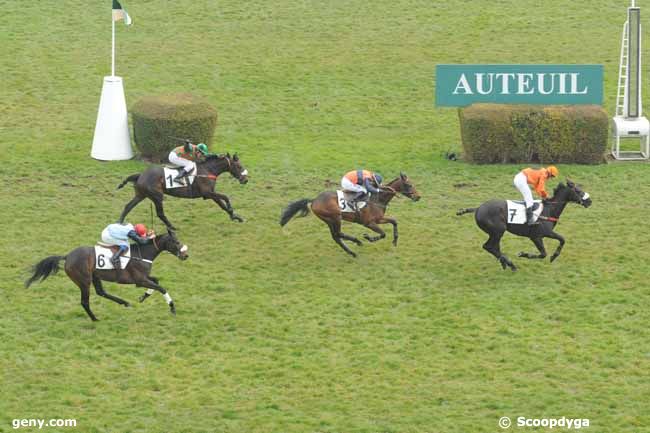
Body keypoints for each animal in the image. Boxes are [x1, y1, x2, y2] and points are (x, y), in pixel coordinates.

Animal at [25, 231, 187, 318]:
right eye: (176, 242)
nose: (185, 255)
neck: (142, 254)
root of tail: (67, 256)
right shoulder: (139, 280)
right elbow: (162, 288)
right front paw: (172, 308)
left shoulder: (144, 278)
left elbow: (157, 281)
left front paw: (143, 297)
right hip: (84, 281)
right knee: (85, 301)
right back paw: (95, 318)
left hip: (95, 276)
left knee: (101, 292)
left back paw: (124, 302)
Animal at [116, 154, 248, 231]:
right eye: (239, 166)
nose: (245, 180)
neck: (208, 170)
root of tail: (141, 175)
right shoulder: (207, 193)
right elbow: (225, 197)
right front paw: (232, 211)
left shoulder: (210, 193)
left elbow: (222, 205)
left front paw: (235, 217)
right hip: (157, 196)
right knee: (160, 213)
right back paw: (172, 227)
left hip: (141, 195)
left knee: (128, 206)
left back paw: (119, 222)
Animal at [278, 173, 420, 256]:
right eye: (409, 185)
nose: (418, 196)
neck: (377, 198)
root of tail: (314, 200)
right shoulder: (369, 223)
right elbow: (383, 234)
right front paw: (369, 238)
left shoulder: (379, 219)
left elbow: (394, 221)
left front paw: (395, 241)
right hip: (335, 217)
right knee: (338, 234)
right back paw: (357, 241)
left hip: (329, 220)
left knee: (336, 236)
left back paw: (351, 252)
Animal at [456, 180, 588, 270]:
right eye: (578, 191)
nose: (589, 201)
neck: (549, 210)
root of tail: (478, 208)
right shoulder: (537, 236)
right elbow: (544, 253)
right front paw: (524, 254)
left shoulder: (546, 234)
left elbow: (562, 240)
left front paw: (553, 256)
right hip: (498, 230)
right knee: (488, 246)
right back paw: (510, 264)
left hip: (495, 233)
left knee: (494, 247)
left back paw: (505, 263)